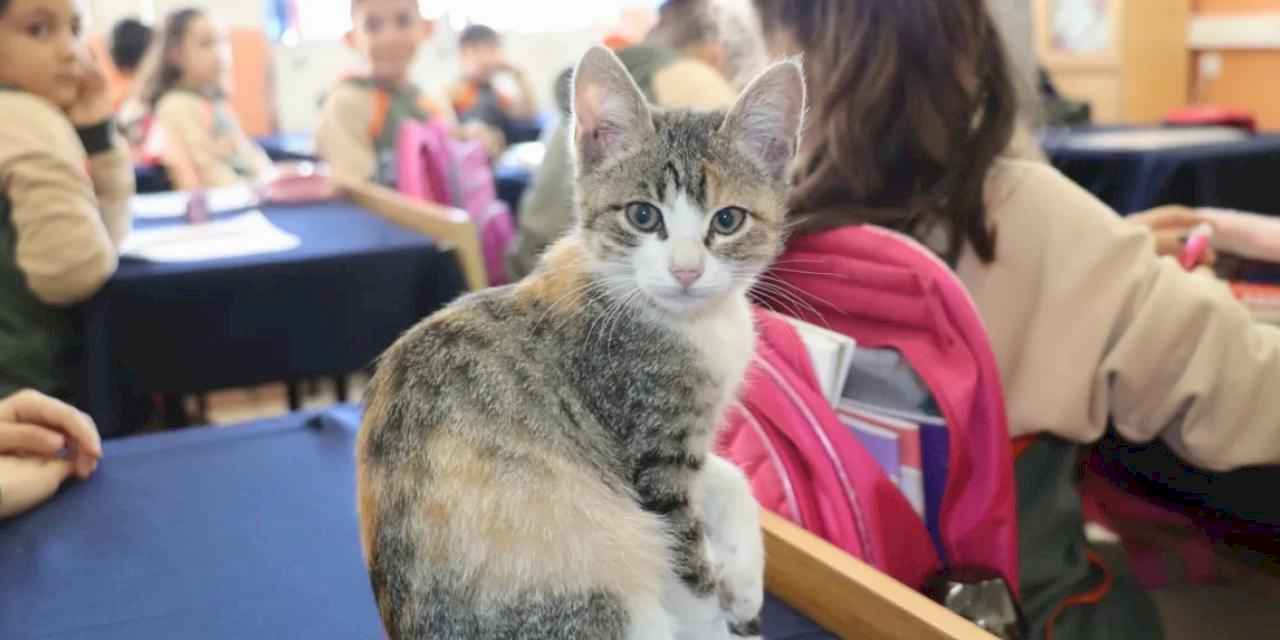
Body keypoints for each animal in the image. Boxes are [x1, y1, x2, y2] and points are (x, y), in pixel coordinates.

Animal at [355, 46, 803, 640]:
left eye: (728, 220)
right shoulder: (648, 451)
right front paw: (718, 610)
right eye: (643, 215)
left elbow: (731, 476)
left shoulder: (685, 445)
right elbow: (687, 568)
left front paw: (746, 578)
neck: (689, 323)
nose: (685, 271)